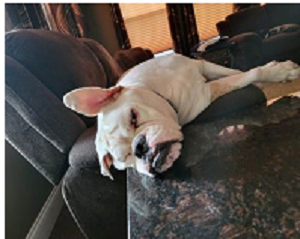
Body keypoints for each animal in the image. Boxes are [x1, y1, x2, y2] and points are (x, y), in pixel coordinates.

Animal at [62, 52, 298, 179]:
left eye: (134, 117)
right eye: (126, 159)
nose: (140, 148)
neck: (157, 87)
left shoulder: (202, 65)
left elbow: (238, 72)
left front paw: (278, 71)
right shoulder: (206, 92)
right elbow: (242, 77)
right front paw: (272, 74)